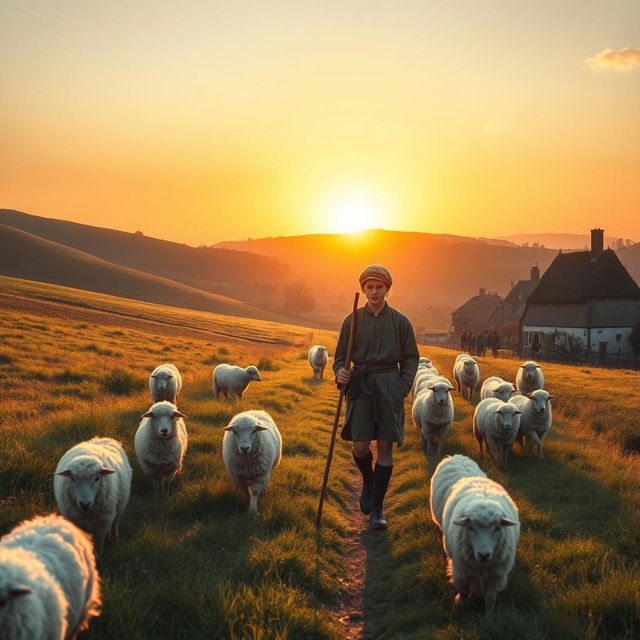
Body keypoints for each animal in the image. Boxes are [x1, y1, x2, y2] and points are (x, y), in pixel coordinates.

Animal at [440, 476, 520, 620]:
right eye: (471, 527)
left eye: (497, 528)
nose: (484, 555)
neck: (482, 566)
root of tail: (473, 477)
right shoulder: (461, 571)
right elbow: (464, 590)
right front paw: (460, 604)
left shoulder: (496, 576)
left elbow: (490, 599)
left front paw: (488, 618)